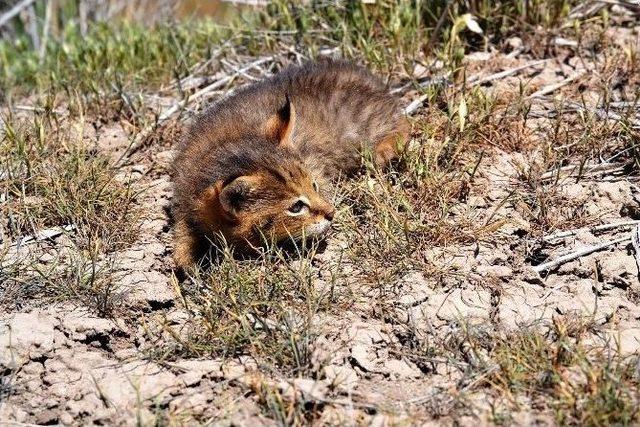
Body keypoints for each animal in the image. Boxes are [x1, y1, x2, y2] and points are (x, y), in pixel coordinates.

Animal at [171, 58, 410, 270]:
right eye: (296, 207)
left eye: (314, 186)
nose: (332, 212)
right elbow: (182, 230)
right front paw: (186, 260)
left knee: (406, 124)